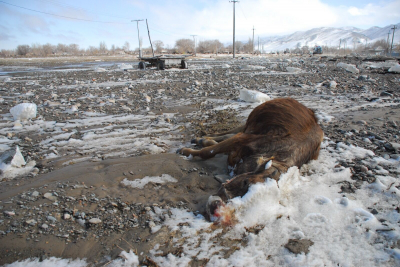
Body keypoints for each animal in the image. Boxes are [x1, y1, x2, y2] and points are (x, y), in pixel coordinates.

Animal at [177, 98, 324, 222]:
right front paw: (186, 151)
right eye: (245, 182)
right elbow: (208, 152)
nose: (217, 210)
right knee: (226, 132)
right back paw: (202, 137)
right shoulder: (243, 139)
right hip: (247, 125)